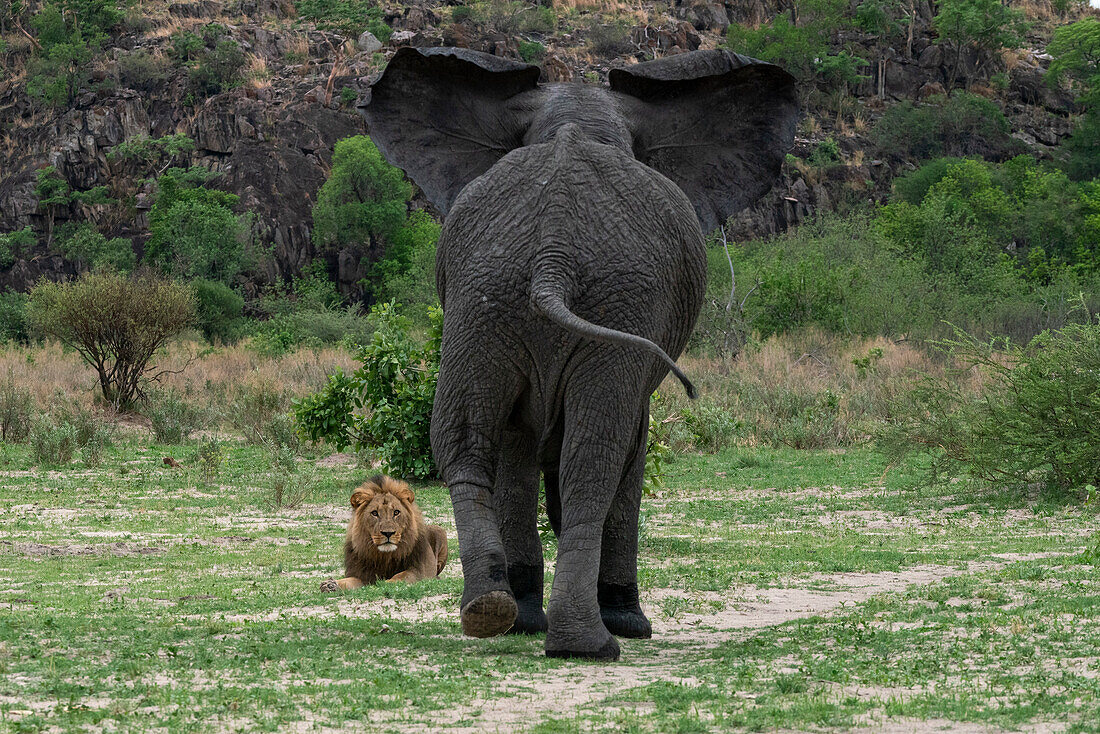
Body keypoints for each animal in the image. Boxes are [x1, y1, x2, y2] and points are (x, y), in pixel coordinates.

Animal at [360, 44, 800, 660]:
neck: (574, 119)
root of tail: (554, 251)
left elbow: (516, 447)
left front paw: (524, 616)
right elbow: (625, 447)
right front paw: (630, 622)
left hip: (487, 296)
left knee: (466, 439)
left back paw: (494, 612)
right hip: (616, 298)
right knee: (596, 456)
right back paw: (592, 641)